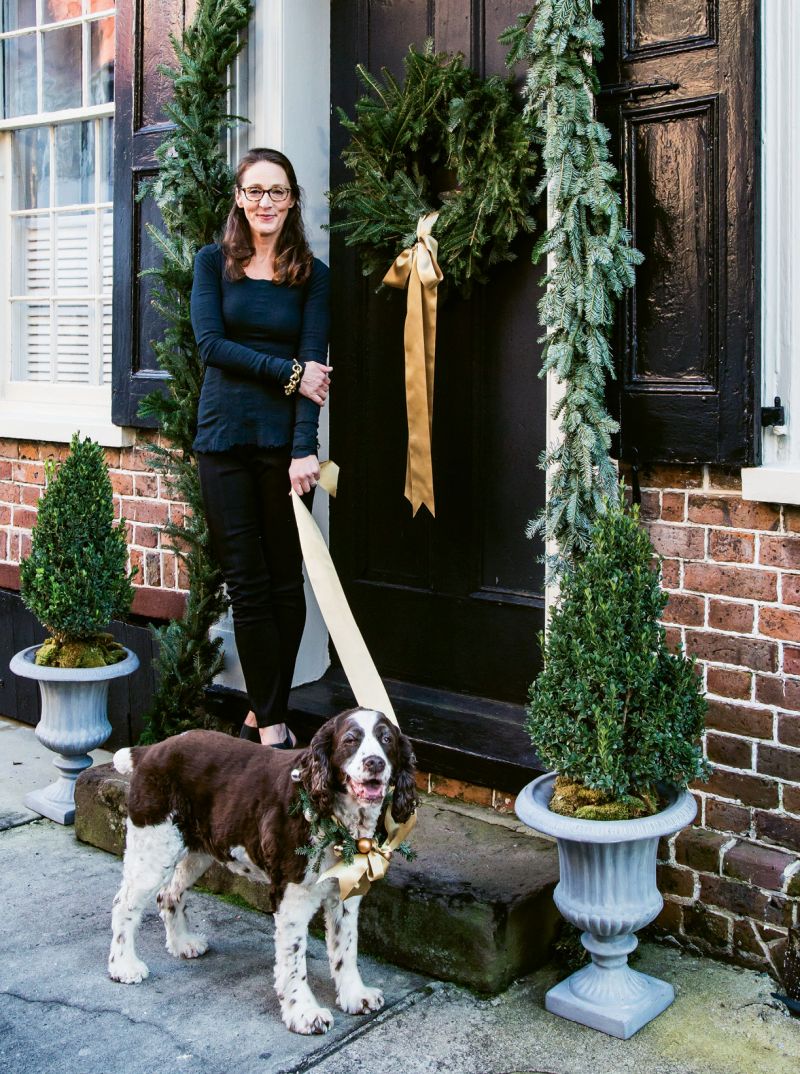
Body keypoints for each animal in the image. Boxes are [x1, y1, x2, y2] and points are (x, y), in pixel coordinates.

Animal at [106, 704, 418, 1031]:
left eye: (387, 739)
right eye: (350, 740)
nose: (375, 763)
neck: (332, 815)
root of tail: (150, 750)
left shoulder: (345, 893)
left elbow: (345, 948)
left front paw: (355, 995)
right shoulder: (292, 896)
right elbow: (294, 958)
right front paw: (303, 1012)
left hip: (197, 851)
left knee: (168, 894)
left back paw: (182, 944)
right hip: (153, 847)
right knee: (124, 904)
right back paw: (124, 966)